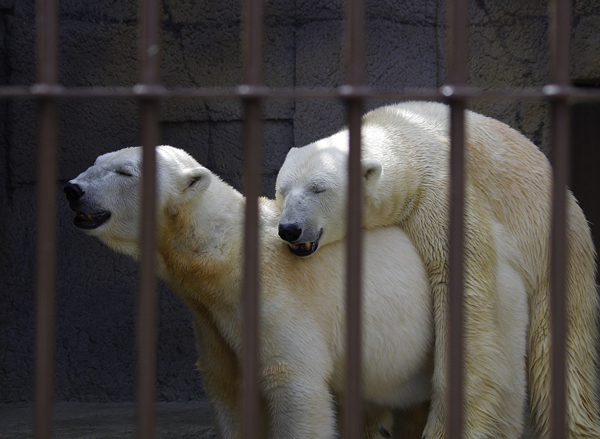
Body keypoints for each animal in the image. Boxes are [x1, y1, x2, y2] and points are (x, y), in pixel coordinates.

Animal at [62, 146, 528, 438]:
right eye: (97, 161)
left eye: (124, 172)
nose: (73, 188)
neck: (225, 260)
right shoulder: (211, 320)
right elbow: (227, 385)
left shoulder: (279, 301)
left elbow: (292, 383)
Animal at [276, 100, 600, 439]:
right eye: (283, 189)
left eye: (319, 189)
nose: (289, 229)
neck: (399, 134)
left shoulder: (440, 192)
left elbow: (466, 293)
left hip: (555, 241)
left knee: (561, 344)